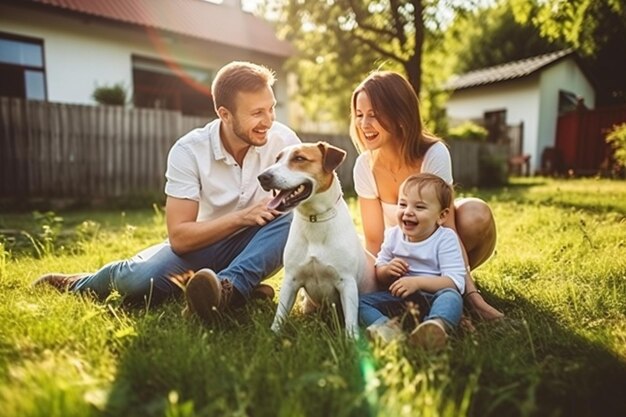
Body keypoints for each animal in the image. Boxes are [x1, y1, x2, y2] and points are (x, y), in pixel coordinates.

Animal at [255, 141, 372, 336]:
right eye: (277, 159)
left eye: (299, 158)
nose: (262, 177)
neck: (314, 219)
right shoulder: (291, 280)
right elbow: (280, 315)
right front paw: (273, 335)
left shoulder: (346, 282)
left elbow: (350, 321)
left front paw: (352, 339)